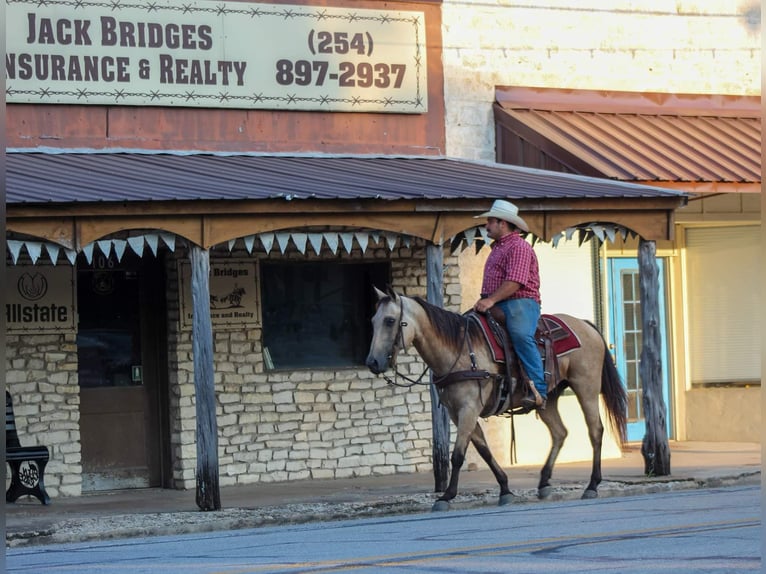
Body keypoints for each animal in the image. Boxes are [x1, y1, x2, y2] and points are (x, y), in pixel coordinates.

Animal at [368, 288, 632, 512]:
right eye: (372, 321)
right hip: (548, 398)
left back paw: (592, 485)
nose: (372, 362)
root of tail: (586, 325)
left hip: (586, 387)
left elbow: (458, 454)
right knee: (560, 433)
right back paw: (544, 482)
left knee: (595, 430)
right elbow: (483, 451)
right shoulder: (457, 412)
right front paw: (505, 489)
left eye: (390, 320)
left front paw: (446, 496)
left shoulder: (468, 409)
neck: (459, 352)